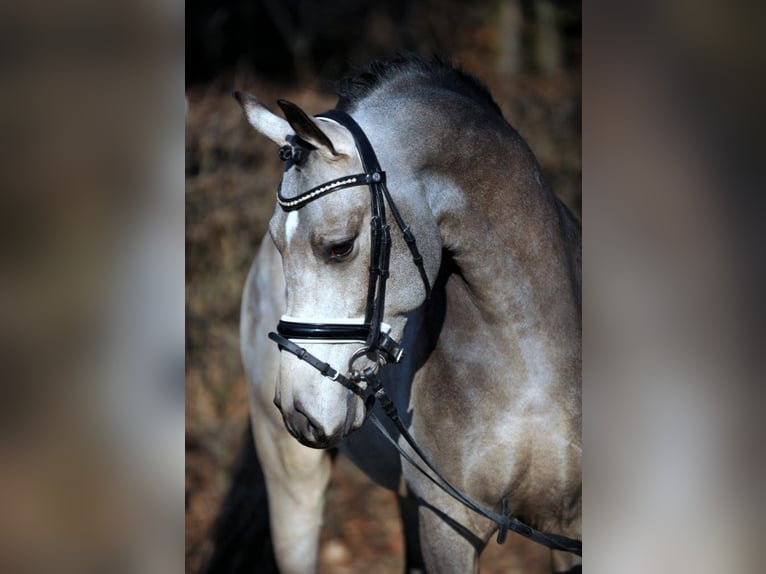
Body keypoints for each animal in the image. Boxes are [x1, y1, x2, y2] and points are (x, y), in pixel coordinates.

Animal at [235, 55, 581, 573]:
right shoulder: (447, 526)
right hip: (292, 479)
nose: (298, 412)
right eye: (279, 242)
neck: (531, 355)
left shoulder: (564, 531)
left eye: (340, 247)